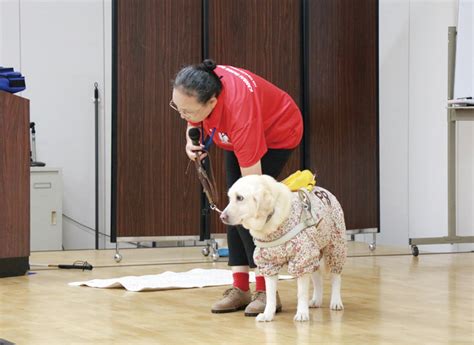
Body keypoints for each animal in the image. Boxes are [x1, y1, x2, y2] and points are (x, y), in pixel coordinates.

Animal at [220, 176, 346, 322]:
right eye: (229, 198)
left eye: (240, 198)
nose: (222, 216)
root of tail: (325, 191)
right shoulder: (269, 263)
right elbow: (270, 295)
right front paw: (268, 314)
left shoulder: (301, 258)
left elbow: (301, 293)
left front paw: (302, 313)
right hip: (315, 251)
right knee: (317, 278)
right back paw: (316, 300)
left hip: (335, 248)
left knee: (336, 277)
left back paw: (336, 302)